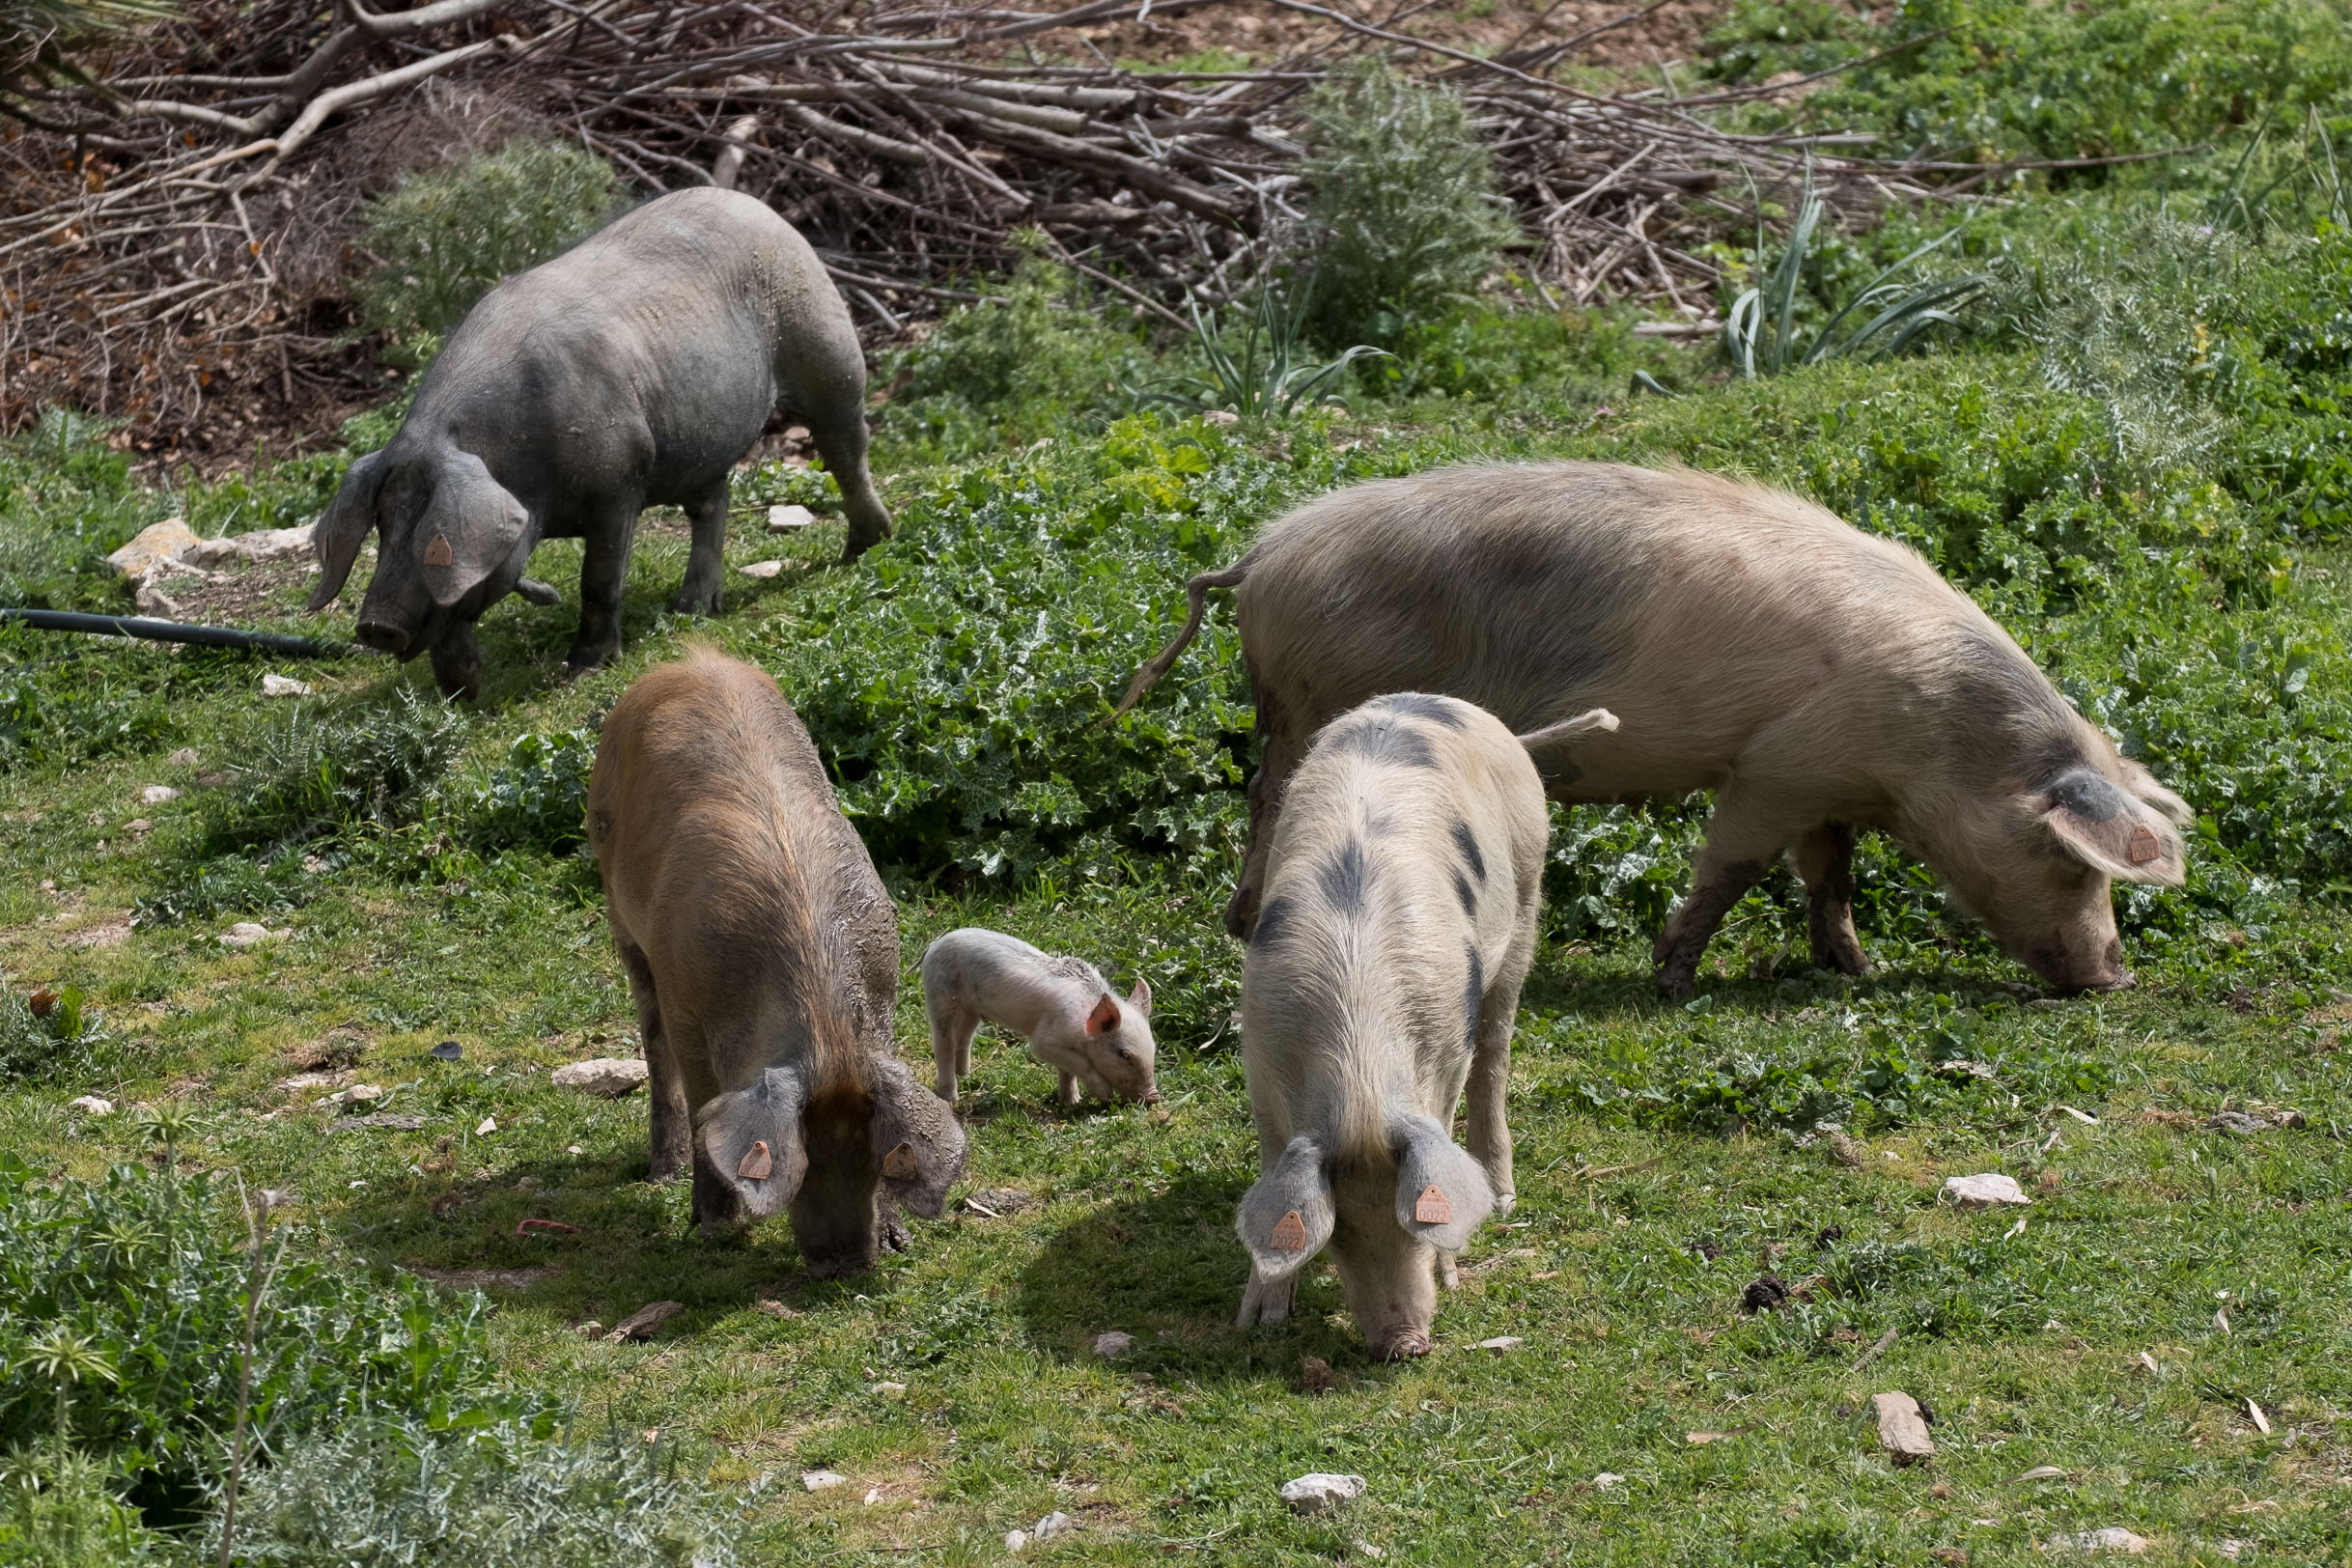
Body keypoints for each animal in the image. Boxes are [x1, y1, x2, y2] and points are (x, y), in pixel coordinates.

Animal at [588, 644, 964, 1269]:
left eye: (874, 1159)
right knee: (653, 1042)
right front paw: (714, 1231)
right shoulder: (687, 1006)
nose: (843, 1263)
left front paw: (896, 1239)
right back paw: (662, 1175)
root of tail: (690, 658)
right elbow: (703, 1104)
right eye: (801, 1161)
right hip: (621, 915)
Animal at [1119, 462, 2182, 992]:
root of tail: (1259, 556)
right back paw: (1248, 924)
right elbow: (1734, 865)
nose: (2116, 977)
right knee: (1272, 797)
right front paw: (1671, 977)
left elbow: (1830, 875)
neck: (1936, 749)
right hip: (1314, 702)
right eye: (2072, 865)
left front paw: (1851, 967)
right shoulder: (1773, 768)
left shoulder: (1829, 786)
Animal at [1232, 690, 1617, 1354]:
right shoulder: (1259, 1061)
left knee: (1496, 1051)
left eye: (1411, 1223)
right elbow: (1272, 1168)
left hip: (1527, 897)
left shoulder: (1443, 1056)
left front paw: (1453, 1274)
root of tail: (1460, 707)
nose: (1404, 1344)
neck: (1358, 1061)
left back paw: (1504, 1195)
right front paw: (1259, 1321)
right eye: (1337, 1234)